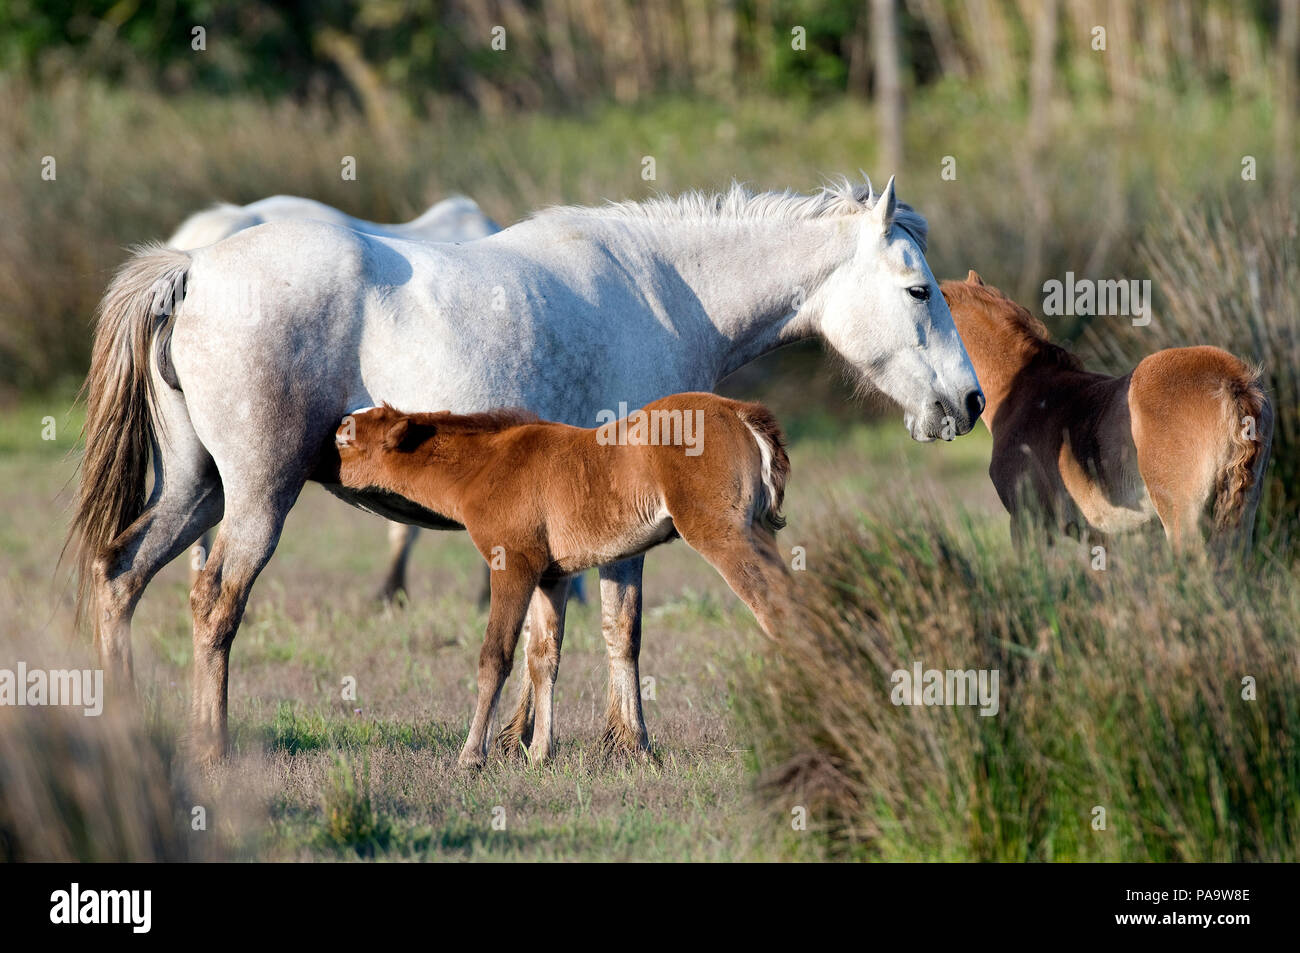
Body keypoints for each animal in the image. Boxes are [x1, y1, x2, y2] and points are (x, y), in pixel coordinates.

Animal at [319, 390, 795, 764]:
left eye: (345, 437)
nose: (319, 465)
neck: (487, 464)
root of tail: (741, 412)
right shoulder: (552, 575)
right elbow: (543, 656)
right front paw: (540, 753)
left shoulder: (512, 564)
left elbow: (495, 657)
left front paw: (472, 756)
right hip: (761, 534)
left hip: (722, 535)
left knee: (777, 613)